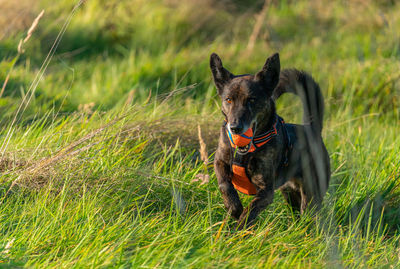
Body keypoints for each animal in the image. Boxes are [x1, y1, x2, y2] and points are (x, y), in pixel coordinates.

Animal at [211, 51, 330, 228]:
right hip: (289, 193)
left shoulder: (266, 191)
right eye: (228, 100)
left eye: (252, 100)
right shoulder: (220, 161)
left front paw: (240, 227)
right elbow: (225, 185)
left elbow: (250, 210)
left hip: (311, 193)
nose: (235, 128)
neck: (246, 151)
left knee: (308, 213)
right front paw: (234, 208)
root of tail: (311, 129)